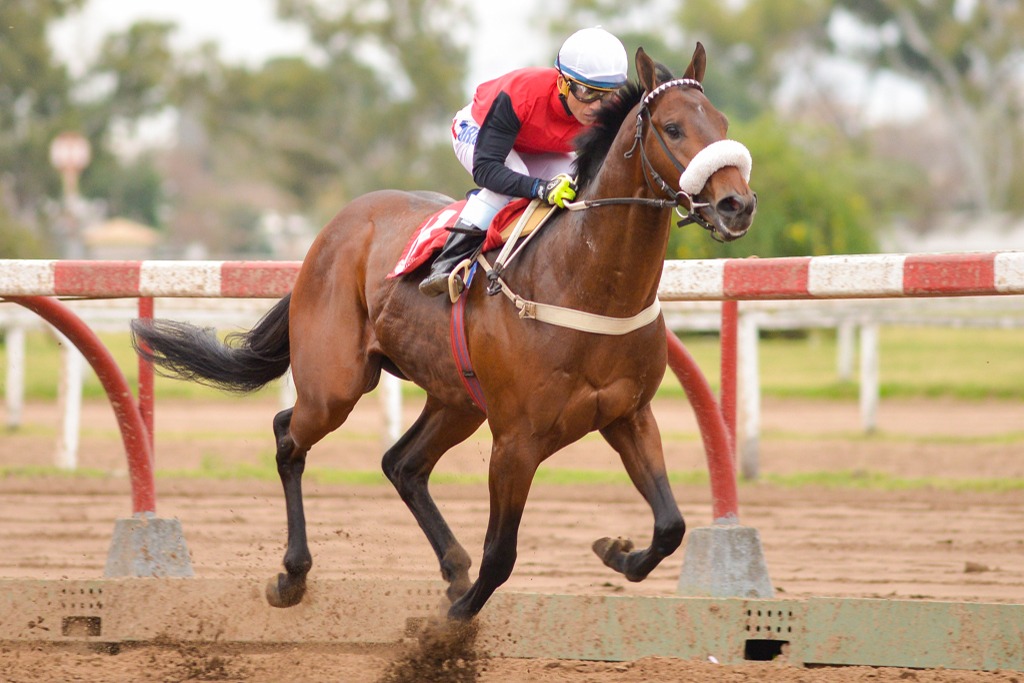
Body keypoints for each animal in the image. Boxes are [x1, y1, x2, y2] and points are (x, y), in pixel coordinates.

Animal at [131, 43, 756, 621]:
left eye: (724, 123)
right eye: (673, 128)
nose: (737, 204)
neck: (585, 281)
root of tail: (335, 227)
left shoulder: (628, 415)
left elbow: (671, 525)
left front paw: (615, 551)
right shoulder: (516, 442)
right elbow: (501, 554)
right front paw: (449, 628)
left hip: (458, 399)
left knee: (401, 464)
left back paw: (452, 567)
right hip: (336, 384)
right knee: (289, 435)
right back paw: (293, 575)